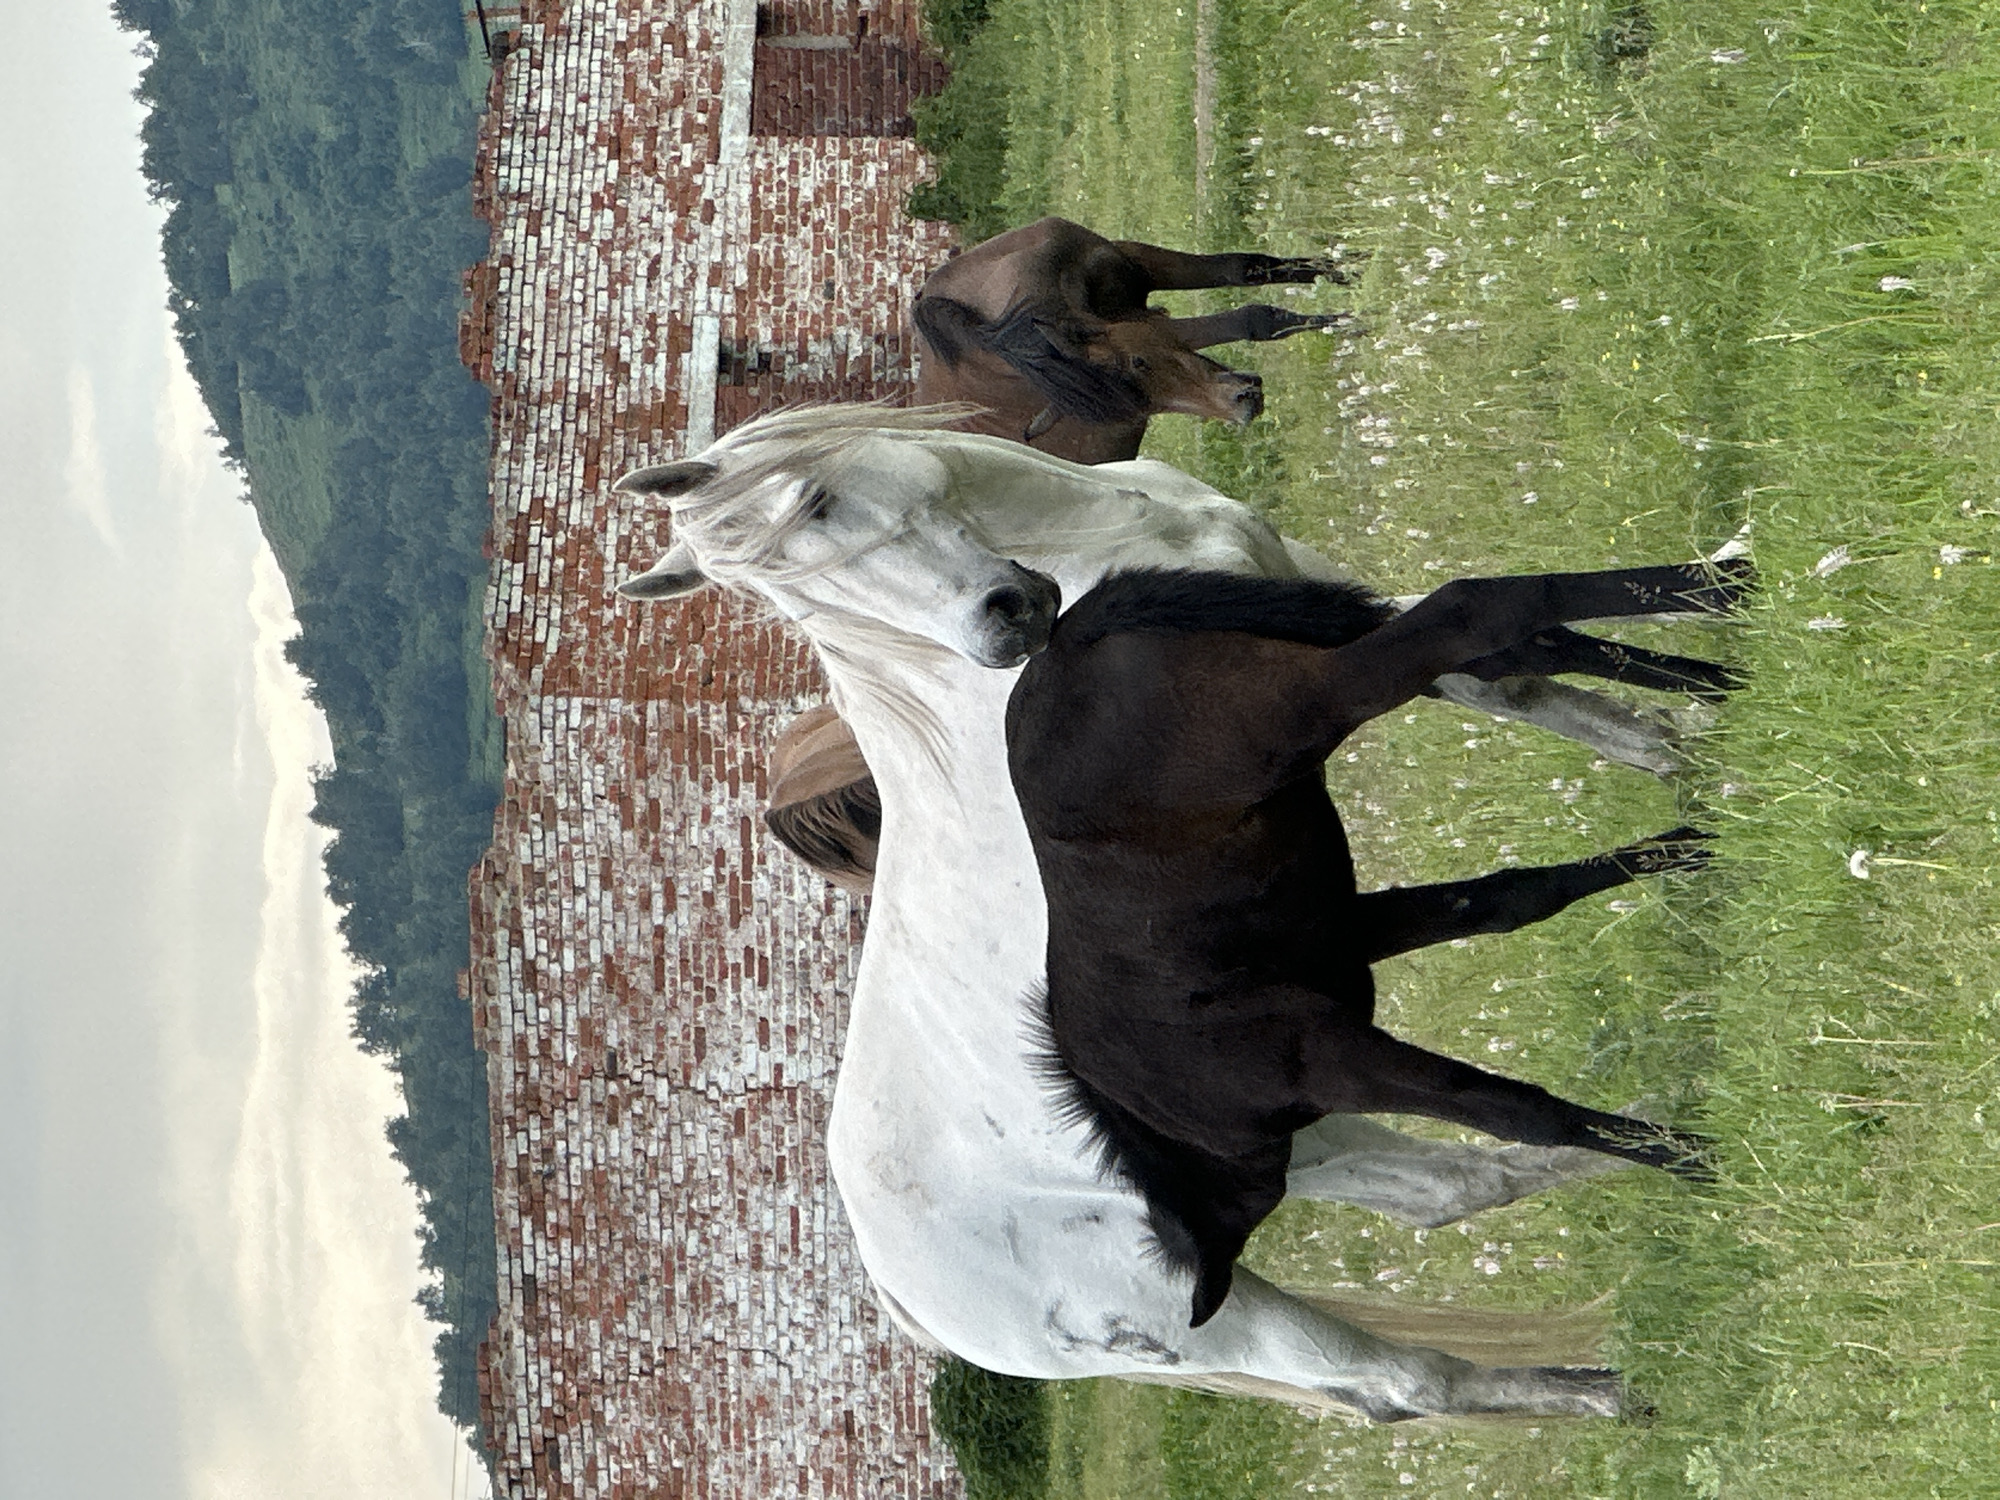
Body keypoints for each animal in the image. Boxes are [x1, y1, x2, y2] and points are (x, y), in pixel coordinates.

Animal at [914, 217, 1356, 464]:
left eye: (1139, 363)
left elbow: (1243, 268)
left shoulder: (1134, 263)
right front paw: (1353, 322)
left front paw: (1349, 269)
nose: (1244, 403)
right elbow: (1252, 319)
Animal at [1005, 567, 1742, 1328]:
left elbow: (1514, 1111)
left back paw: (1729, 593)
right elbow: (1512, 899)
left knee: (1477, 608)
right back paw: (1729, 668)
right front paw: (1699, 842)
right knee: (1515, 653)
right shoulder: (1345, 931)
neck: (1169, 1106)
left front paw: (1701, 1159)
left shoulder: (1325, 1055)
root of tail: (1062, 643)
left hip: (1306, 704)